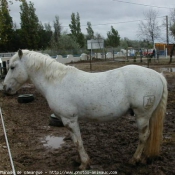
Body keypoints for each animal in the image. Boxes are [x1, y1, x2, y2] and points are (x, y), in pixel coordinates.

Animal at [3, 49, 168, 170]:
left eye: (12, 67)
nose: (5, 88)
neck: (57, 81)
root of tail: (157, 75)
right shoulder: (69, 121)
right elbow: (75, 140)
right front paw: (79, 160)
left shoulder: (69, 119)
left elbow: (78, 142)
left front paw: (84, 163)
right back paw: (145, 157)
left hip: (142, 115)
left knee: (144, 136)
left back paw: (134, 159)